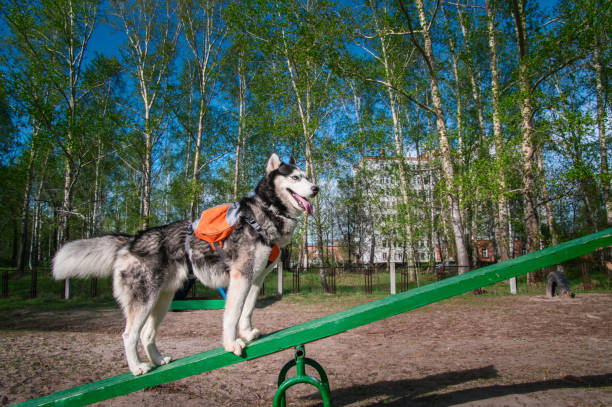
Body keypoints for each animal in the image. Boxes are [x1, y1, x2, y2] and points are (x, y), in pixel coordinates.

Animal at [52, 155, 320, 378]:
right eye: (295, 177)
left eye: (306, 175)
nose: (316, 188)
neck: (266, 212)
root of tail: (132, 240)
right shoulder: (240, 277)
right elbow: (232, 314)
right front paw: (232, 342)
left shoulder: (255, 278)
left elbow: (248, 310)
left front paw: (247, 332)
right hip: (144, 300)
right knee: (129, 335)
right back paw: (138, 367)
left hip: (163, 301)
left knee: (147, 334)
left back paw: (158, 360)